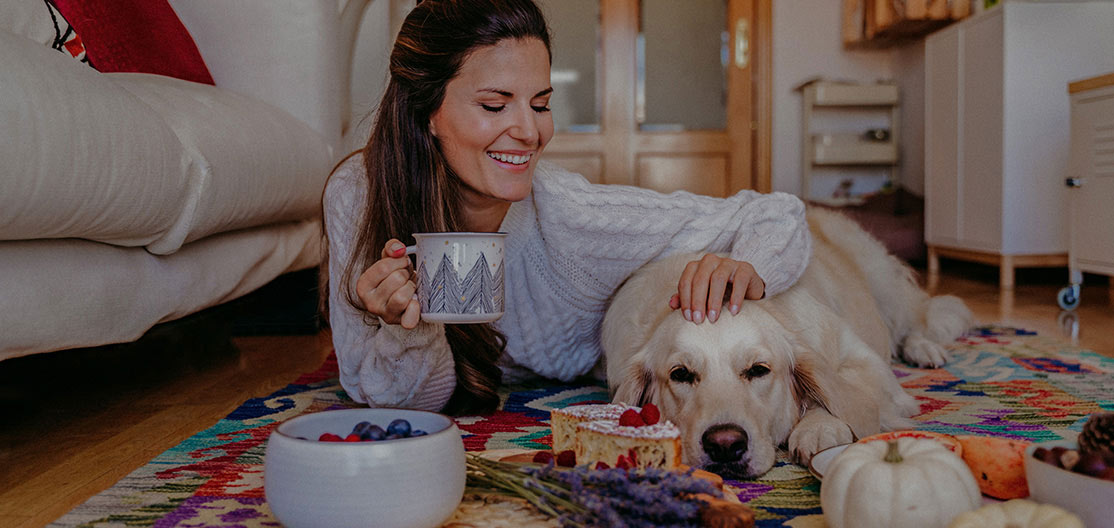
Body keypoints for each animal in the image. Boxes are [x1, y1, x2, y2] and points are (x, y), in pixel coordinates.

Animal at [601, 207, 975, 478]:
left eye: (758, 370)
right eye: (680, 374)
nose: (725, 444)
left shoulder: (864, 362)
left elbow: (844, 395)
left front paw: (819, 429)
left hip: (883, 285)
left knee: (916, 319)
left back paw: (925, 349)